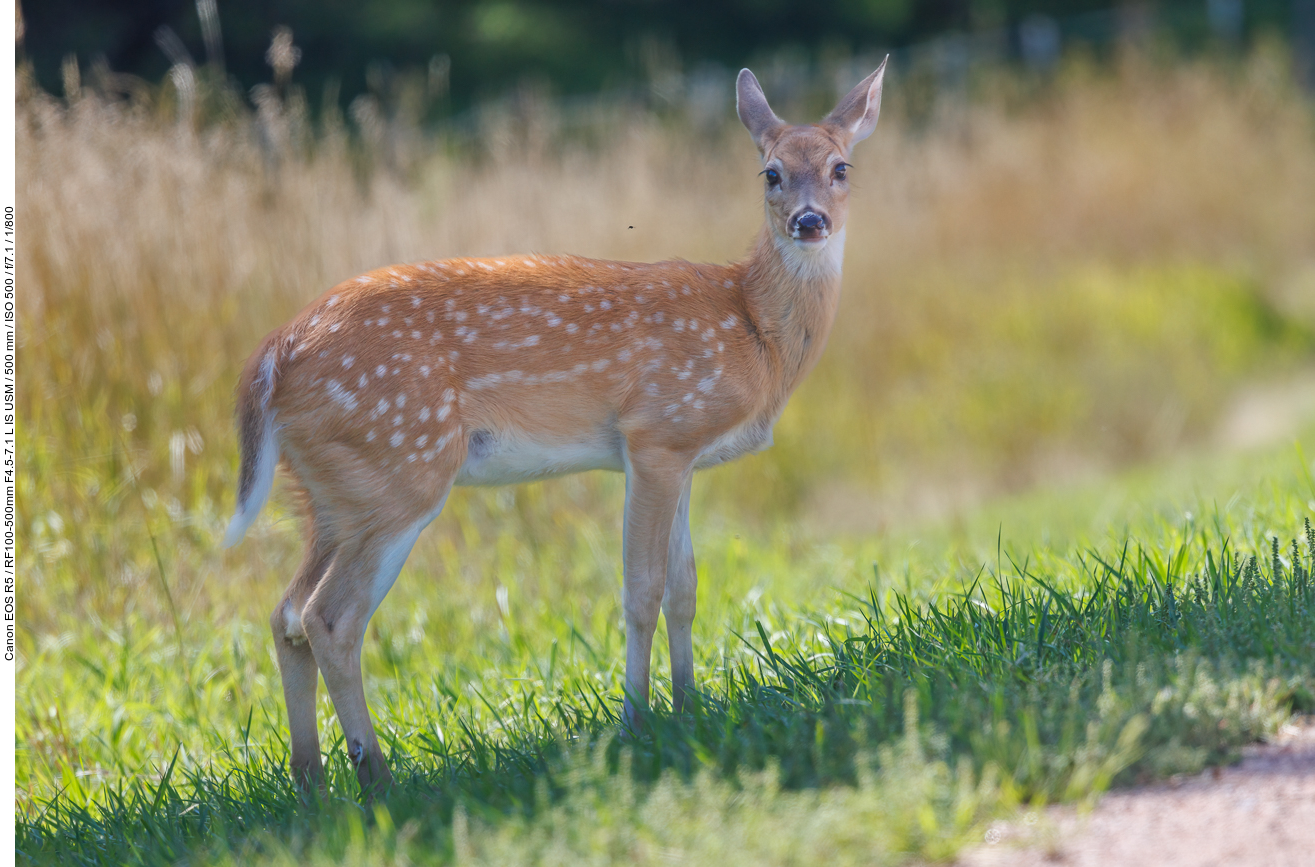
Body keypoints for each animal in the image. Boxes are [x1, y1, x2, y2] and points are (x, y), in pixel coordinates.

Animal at [220, 57, 888, 794]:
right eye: (770, 172)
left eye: (841, 167)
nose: (809, 221)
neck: (752, 328)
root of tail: (272, 354)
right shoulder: (656, 432)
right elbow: (641, 589)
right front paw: (636, 720)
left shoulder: (683, 452)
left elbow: (684, 587)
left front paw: (689, 706)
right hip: (399, 468)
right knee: (330, 617)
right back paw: (378, 778)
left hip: (332, 492)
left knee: (286, 612)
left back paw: (311, 781)